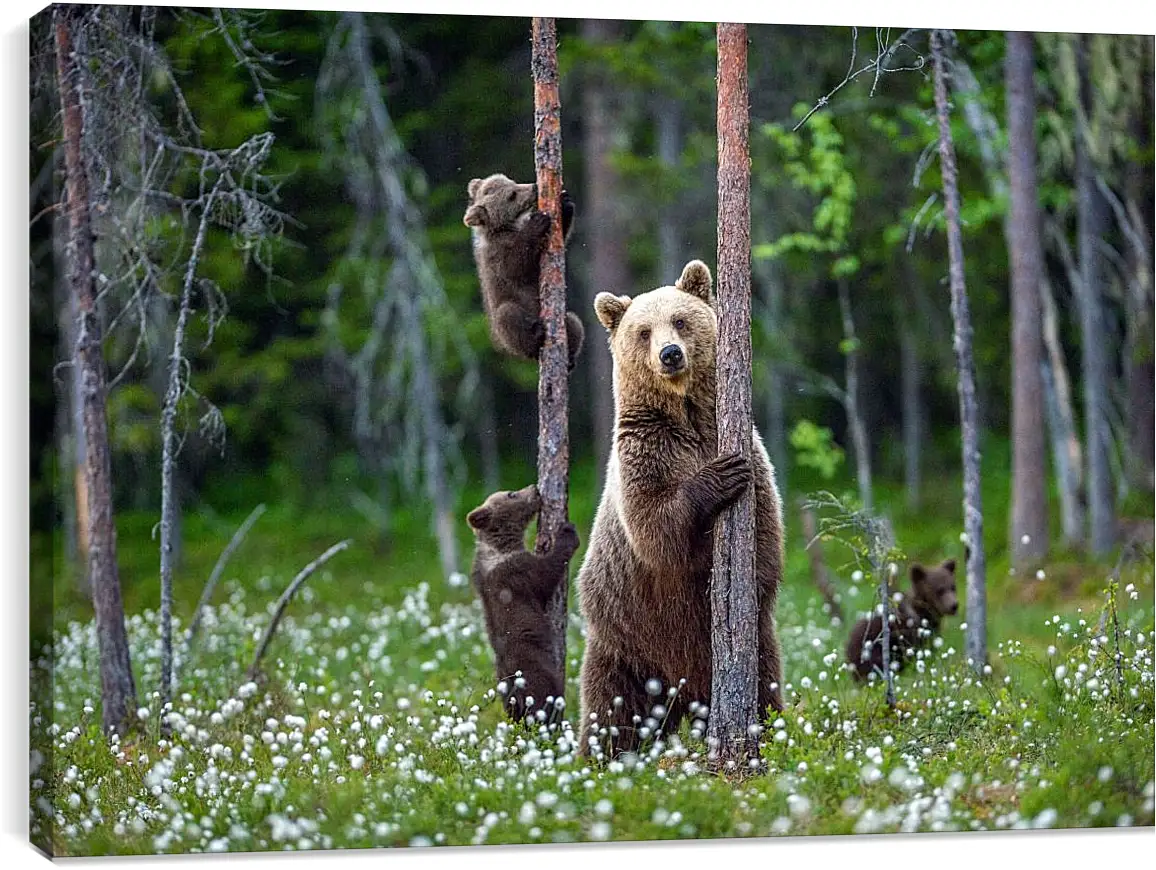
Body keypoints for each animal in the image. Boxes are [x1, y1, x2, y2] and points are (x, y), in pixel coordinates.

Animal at [462, 174, 587, 367]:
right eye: (512, 195)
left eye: (512, 182)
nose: (534, 186)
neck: (506, 228)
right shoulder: (497, 255)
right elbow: (515, 267)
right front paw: (537, 222)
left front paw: (565, 203)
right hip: (504, 325)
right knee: (508, 315)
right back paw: (535, 336)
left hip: (565, 320)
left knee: (573, 321)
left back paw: (570, 358)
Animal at [467, 485, 578, 720]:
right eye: (511, 494)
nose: (535, 488)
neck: (501, 546)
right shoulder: (517, 573)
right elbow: (546, 573)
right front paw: (567, 532)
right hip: (535, 671)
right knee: (546, 698)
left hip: (505, 691)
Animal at [575, 257, 786, 753]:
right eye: (642, 331)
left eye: (680, 320)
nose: (670, 354)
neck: (686, 416)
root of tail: (683, 692)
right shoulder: (645, 454)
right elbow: (656, 529)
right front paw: (719, 477)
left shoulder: (748, 450)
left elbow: (765, 534)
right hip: (625, 640)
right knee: (611, 709)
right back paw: (599, 756)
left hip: (753, 648)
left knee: (765, 684)